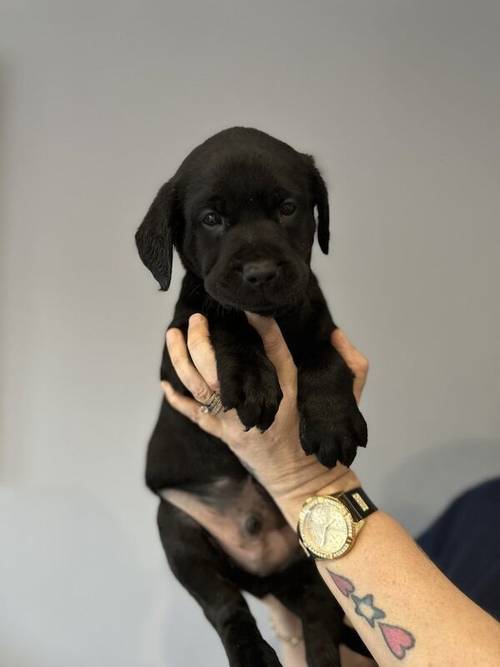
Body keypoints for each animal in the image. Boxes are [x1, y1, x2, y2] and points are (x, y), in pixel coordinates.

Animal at [136, 126, 368, 667]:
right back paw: (252, 654)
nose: (260, 272)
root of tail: (263, 573)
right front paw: (251, 380)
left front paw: (332, 421)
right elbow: (224, 318)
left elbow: (325, 355)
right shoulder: (178, 352)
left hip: (311, 567)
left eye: (287, 208)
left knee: (320, 623)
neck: (272, 319)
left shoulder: (318, 316)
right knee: (225, 607)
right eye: (211, 219)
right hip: (179, 532)